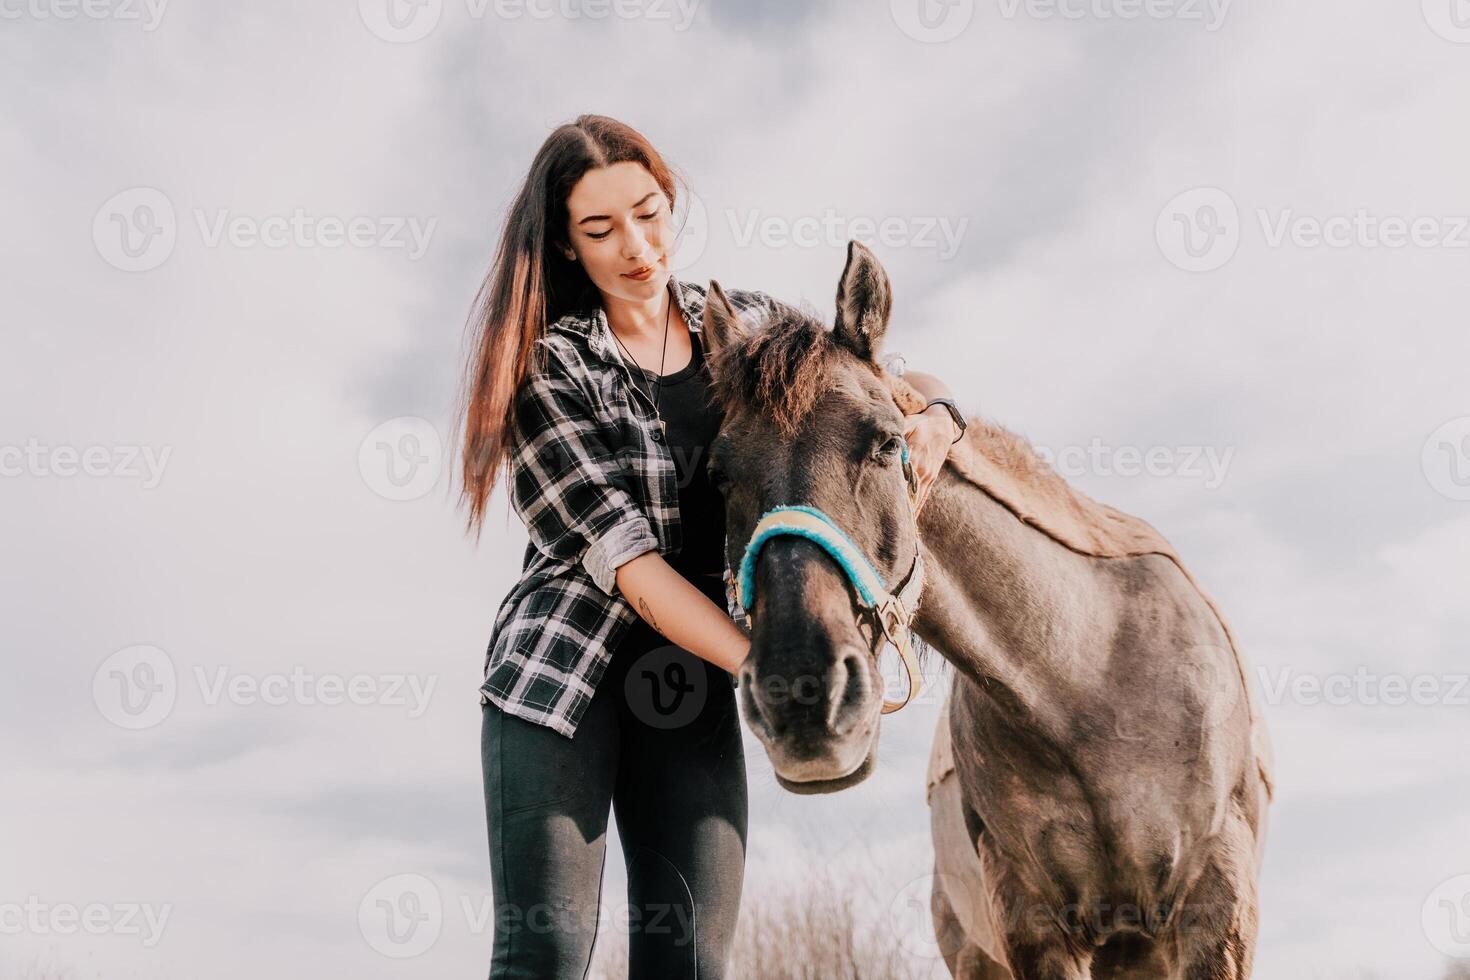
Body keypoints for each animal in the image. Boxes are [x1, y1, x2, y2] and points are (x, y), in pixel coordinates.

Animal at [699, 239, 1275, 980]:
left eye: (885, 442)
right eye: (718, 475)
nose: (801, 696)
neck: (1090, 686)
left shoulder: (1216, 911)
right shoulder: (1031, 924)